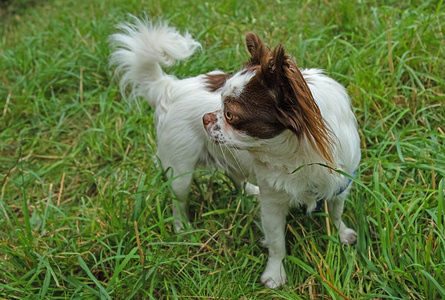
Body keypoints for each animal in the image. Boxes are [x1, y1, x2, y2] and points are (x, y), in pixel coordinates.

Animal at [109, 17, 360, 290]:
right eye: (219, 101)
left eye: (230, 115)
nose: (206, 118)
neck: (295, 154)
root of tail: (169, 87)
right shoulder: (273, 206)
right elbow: (277, 243)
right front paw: (275, 275)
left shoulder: (340, 184)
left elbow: (336, 213)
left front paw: (341, 234)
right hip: (180, 172)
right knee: (179, 201)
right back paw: (183, 229)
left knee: (236, 177)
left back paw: (250, 191)